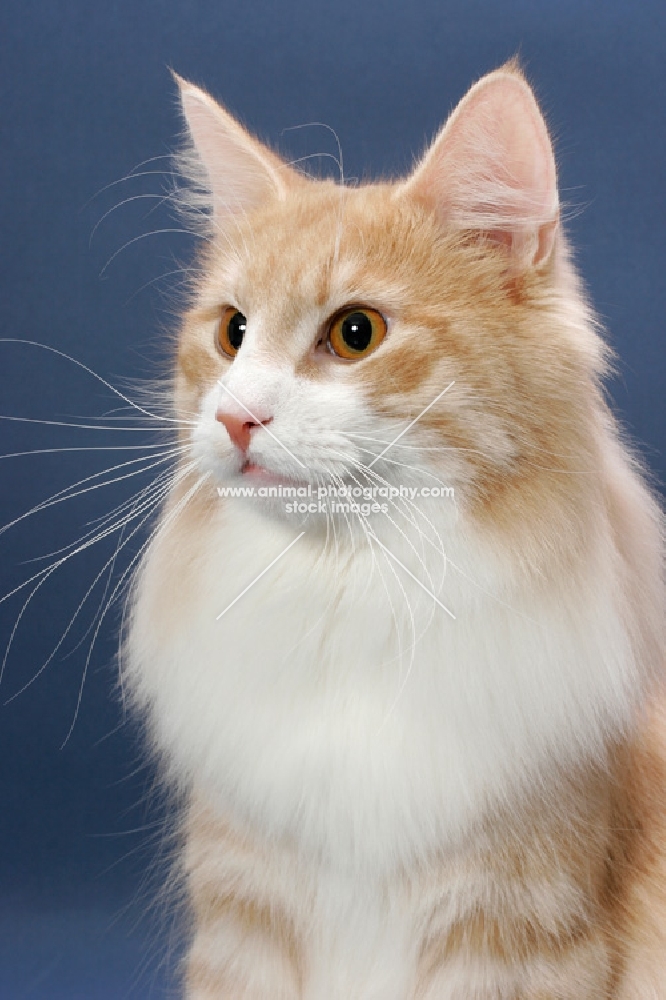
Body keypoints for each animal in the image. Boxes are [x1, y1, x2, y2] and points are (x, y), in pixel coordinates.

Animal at [124, 62, 664, 1000]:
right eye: (232, 332)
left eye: (355, 334)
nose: (234, 417)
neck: (349, 594)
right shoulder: (244, 914)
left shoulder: (514, 927)